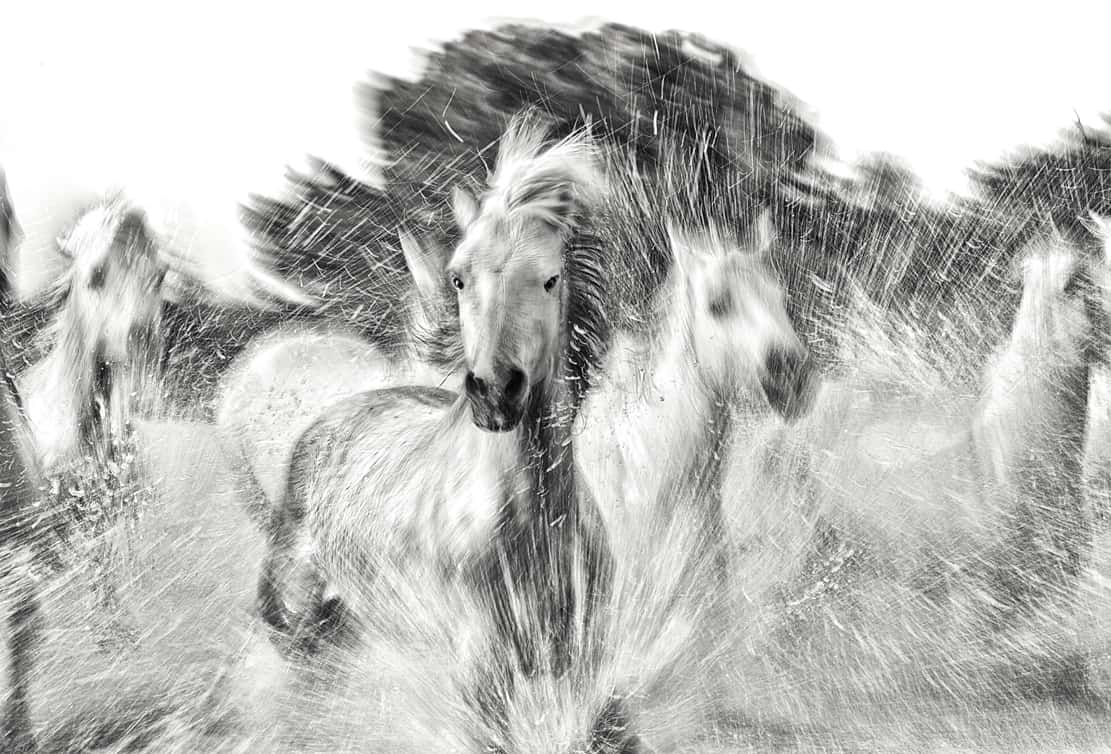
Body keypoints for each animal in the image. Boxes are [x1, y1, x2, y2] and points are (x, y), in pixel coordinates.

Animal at [256, 111, 629, 749]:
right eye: (458, 278)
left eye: (551, 279)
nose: (495, 391)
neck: (529, 528)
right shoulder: (480, 682)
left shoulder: (584, 668)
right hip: (299, 624)